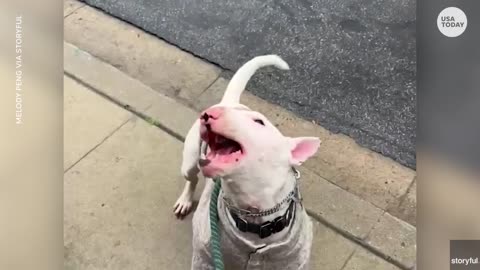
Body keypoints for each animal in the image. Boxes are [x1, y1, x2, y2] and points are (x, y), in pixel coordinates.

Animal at [174, 55, 320, 270]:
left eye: (259, 122)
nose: (208, 113)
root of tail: (231, 102)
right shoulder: (204, 255)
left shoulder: (294, 262)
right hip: (190, 161)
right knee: (191, 179)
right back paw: (184, 201)